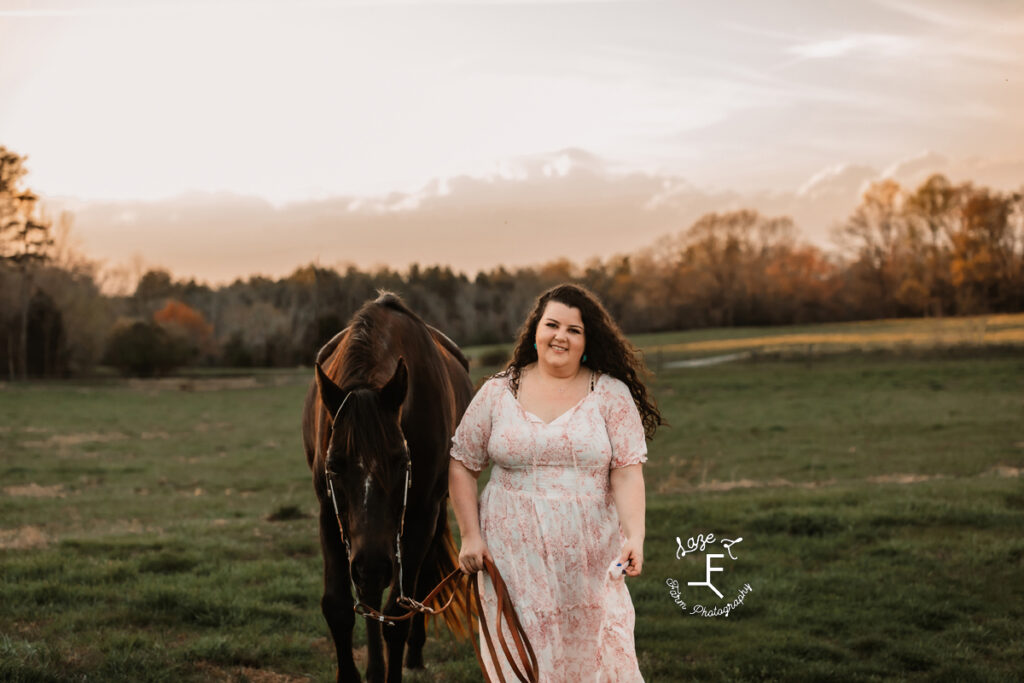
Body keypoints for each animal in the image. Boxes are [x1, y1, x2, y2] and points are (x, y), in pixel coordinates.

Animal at [299, 294, 471, 683]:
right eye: (335, 465)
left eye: (400, 461)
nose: (372, 563)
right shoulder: (330, 514)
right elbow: (339, 607)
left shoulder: (421, 514)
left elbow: (397, 616)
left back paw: (414, 653)